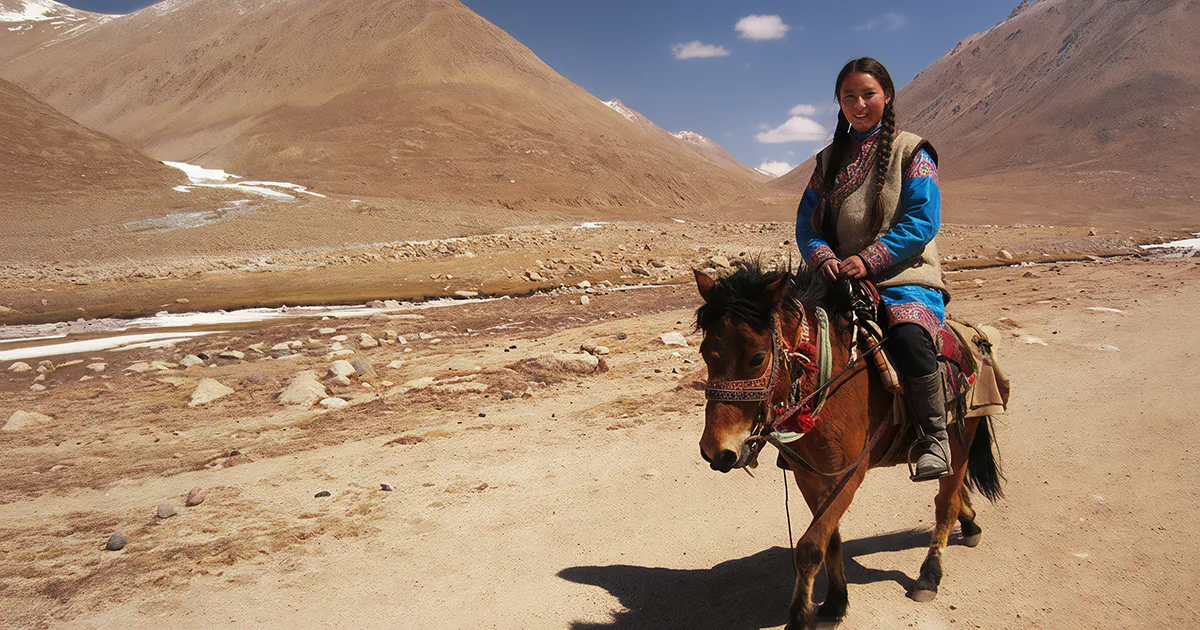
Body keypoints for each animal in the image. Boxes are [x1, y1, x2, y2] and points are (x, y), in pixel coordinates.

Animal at [693, 261, 1004, 629]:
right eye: (705, 354)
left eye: (757, 358)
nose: (717, 452)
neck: (829, 380)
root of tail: (969, 339)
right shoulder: (810, 478)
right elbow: (830, 539)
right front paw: (835, 602)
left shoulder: (848, 476)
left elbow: (811, 545)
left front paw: (801, 616)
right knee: (956, 494)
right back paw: (970, 524)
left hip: (959, 437)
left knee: (946, 503)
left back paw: (929, 576)